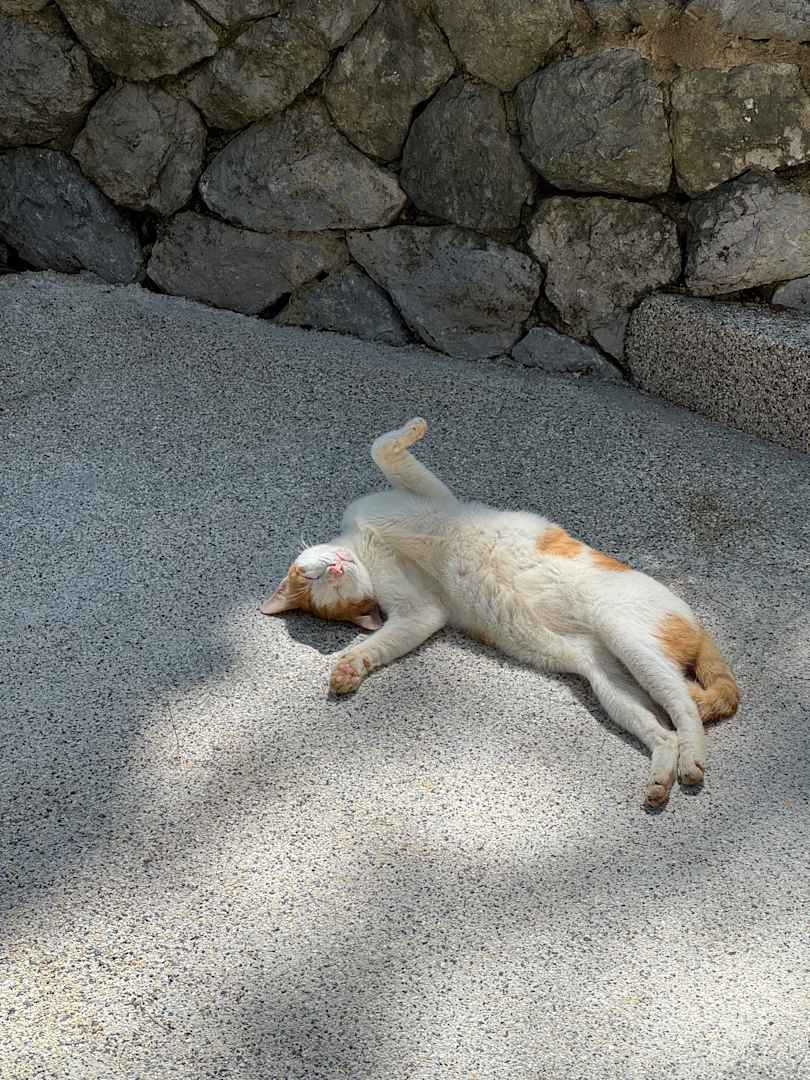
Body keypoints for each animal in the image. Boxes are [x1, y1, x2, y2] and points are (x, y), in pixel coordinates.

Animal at [262, 418, 740, 807]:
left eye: (310, 576)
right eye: (321, 586)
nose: (335, 567)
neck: (368, 545)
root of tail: (697, 623)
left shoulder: (430, 500)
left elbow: (382, 446)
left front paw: (414, 427)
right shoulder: (421, 612)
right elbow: (377, 644)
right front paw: (350, 667)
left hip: (629, 643)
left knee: (684, 706)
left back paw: (685, 763)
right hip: (611, 679)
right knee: (673, 721)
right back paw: (669, 774)